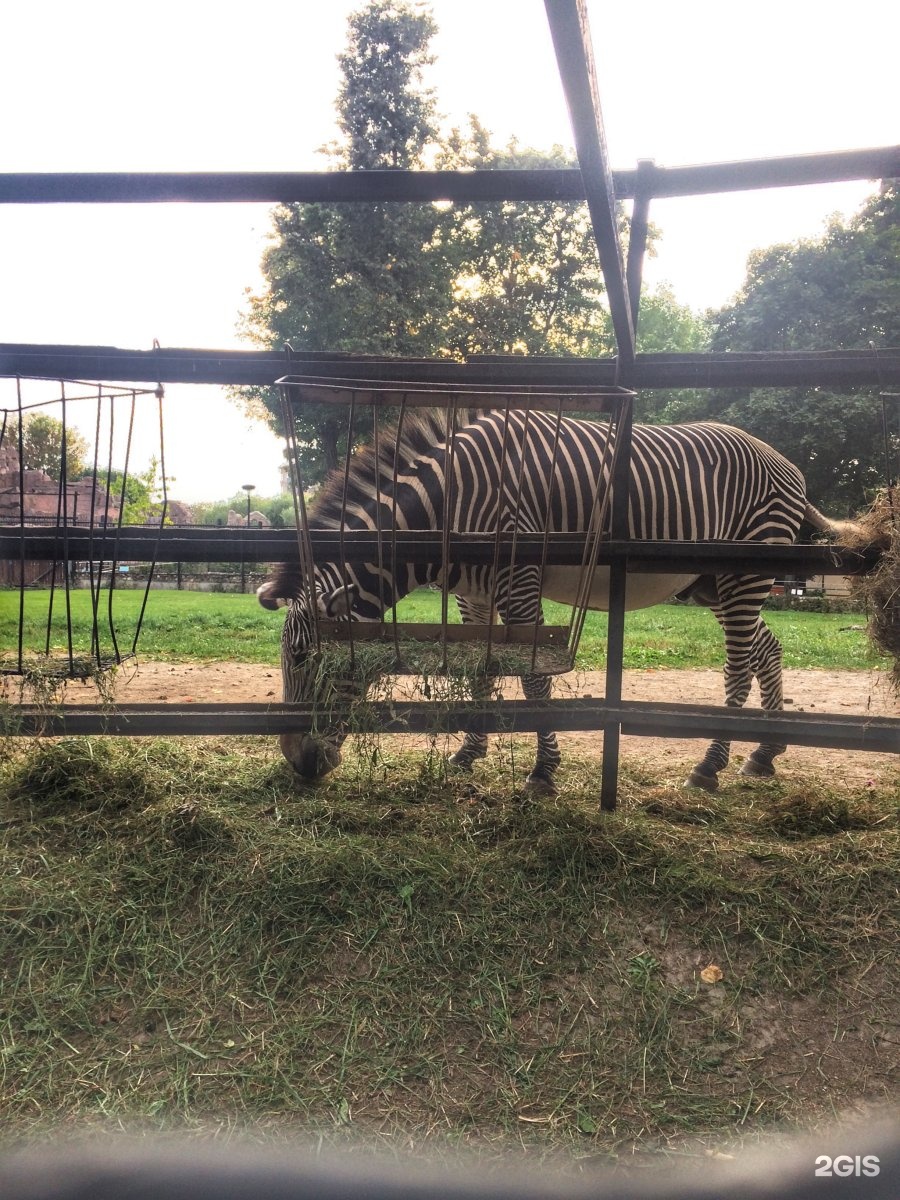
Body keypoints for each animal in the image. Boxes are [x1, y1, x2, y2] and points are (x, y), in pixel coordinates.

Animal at [256, 408, 864, 792]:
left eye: (307, 661)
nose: (299, 766)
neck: (445, 509)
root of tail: (786, 463)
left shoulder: (518, 583)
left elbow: (532, 681)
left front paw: (543, 773)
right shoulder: (474, 596)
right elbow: (481, 673)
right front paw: (467, 755)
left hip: (742, 574)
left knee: (739, 663)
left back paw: (711, 765)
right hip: (711, 584)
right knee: (768, 648)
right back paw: (764, 754)